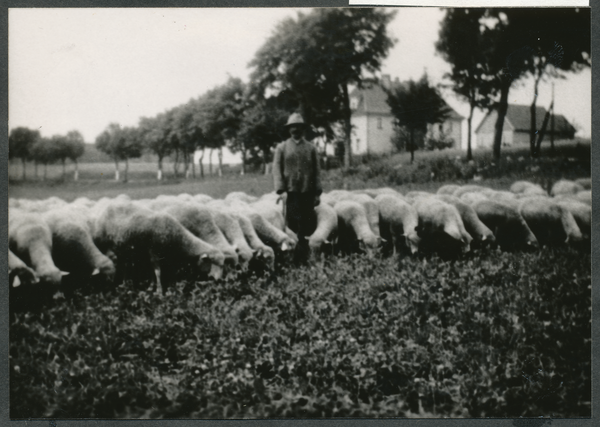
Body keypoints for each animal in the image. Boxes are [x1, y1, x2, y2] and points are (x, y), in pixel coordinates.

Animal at [94, 201, 225, 294]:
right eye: (213, 263)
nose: (219, 281)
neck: (176, 236)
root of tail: (110, 204)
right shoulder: (154, 250)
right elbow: (157, 271)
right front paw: (159, 291)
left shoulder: (153, 252)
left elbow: (153, 271)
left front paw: (151, 287)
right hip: (107, 243)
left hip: (123, 246)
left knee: (124, 264)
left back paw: (125, 283)